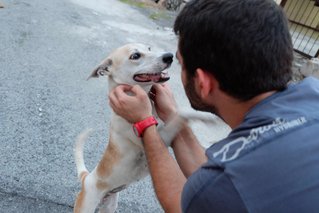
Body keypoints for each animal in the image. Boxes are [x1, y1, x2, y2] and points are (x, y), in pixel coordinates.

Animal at [74, 43, 192, 213]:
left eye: (149, 48)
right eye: (135, 56)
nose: (169, 56)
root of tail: (87, 178)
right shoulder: (160, 138)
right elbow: (183, 113)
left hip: (109, 206)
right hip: (86, 205)